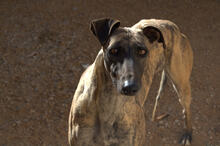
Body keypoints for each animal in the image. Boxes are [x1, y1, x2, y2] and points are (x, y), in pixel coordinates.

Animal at [68, 17, 193, 145]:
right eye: (114, 51)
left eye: (142, 51)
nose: (130, 87)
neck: (109, 104)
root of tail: (170, 24)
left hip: (182, 87)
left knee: (186, 110)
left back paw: (188, 134)